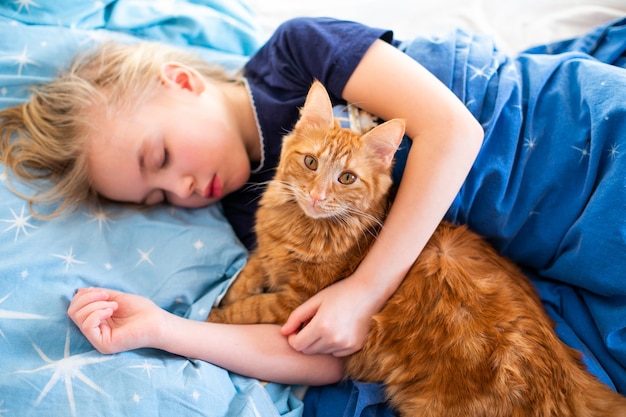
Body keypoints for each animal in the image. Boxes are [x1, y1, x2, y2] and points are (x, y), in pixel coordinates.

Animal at [207, 79, 624, 414]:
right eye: (310, 162)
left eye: (346, 178)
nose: (316, 196)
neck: (297, 228)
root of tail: (570, 378)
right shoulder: (266, 254)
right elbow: (247, 277)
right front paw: (224, 295)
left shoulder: (295, 304)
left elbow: (248, 308)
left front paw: (212, 316)